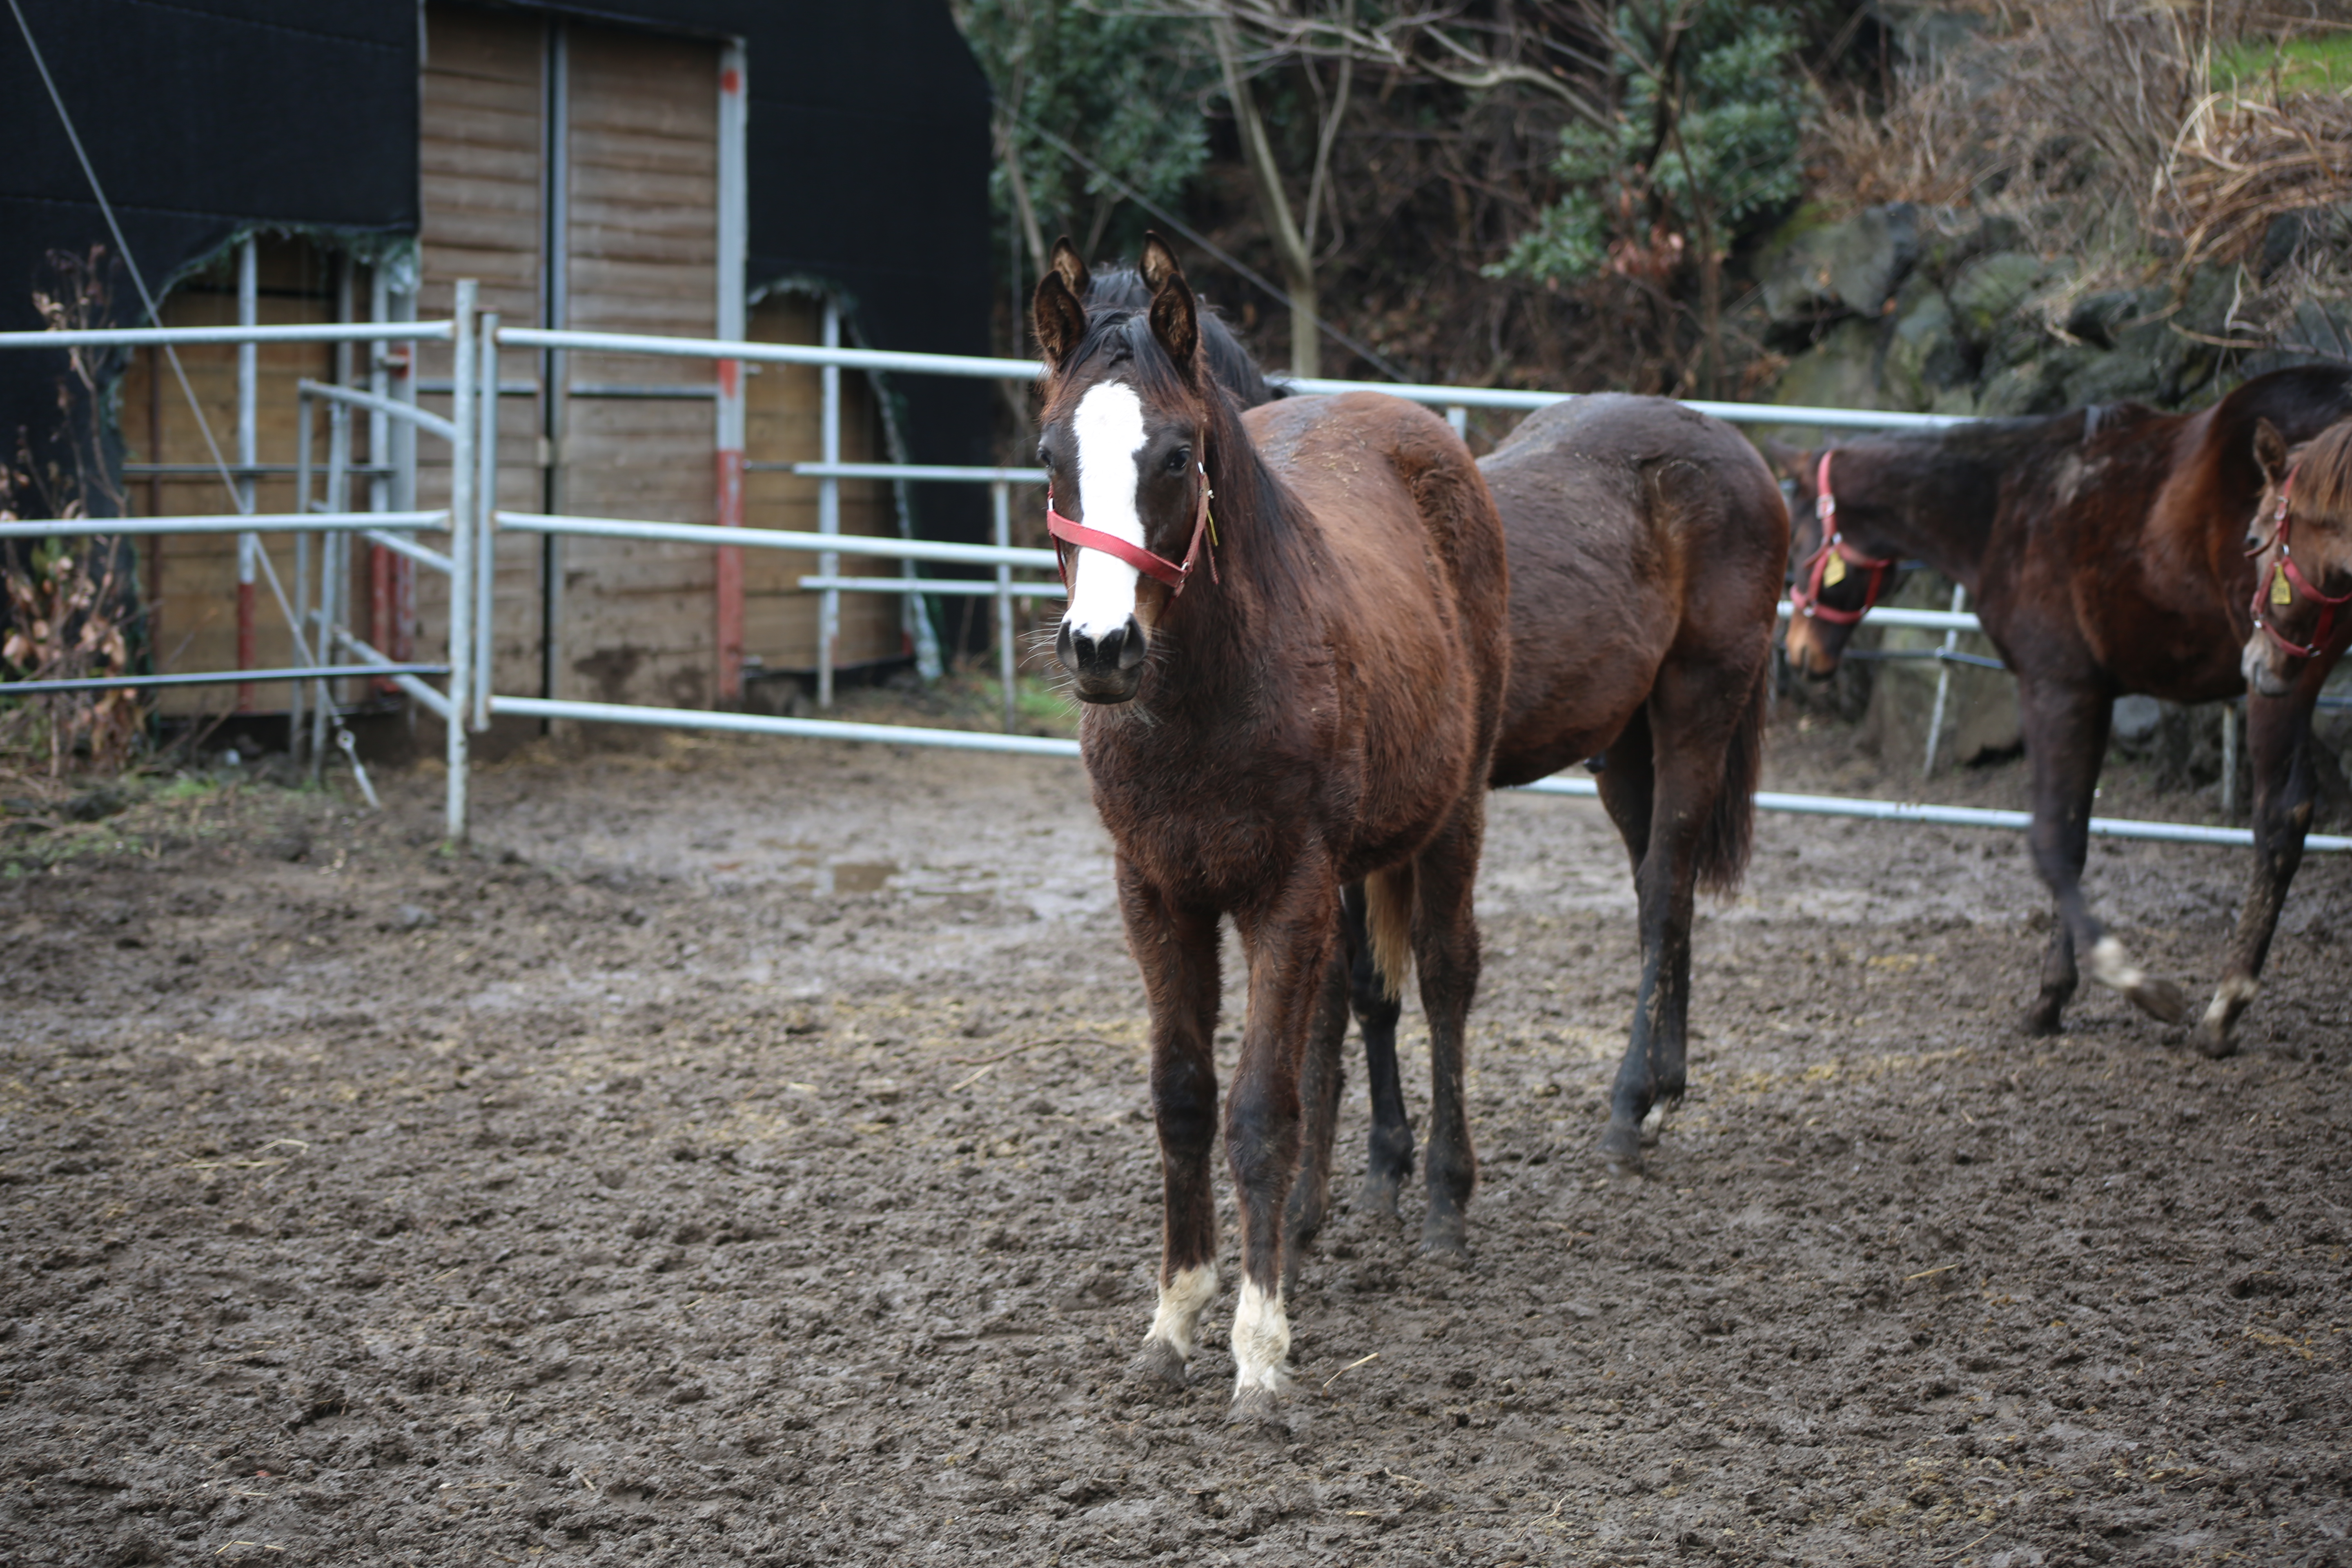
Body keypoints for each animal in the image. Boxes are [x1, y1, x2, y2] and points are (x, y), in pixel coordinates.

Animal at [1778, 364, 2352, 1053]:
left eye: (1799, 540)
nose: (1799, 653)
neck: (2005, 505)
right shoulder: (2094, 695)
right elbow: (2073, 840)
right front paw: (2054, 998)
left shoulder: (2055, 687)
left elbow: (2051, 840)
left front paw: (2126, 984)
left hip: (2280, 674)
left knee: (2279, 816)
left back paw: (2225, 1006)